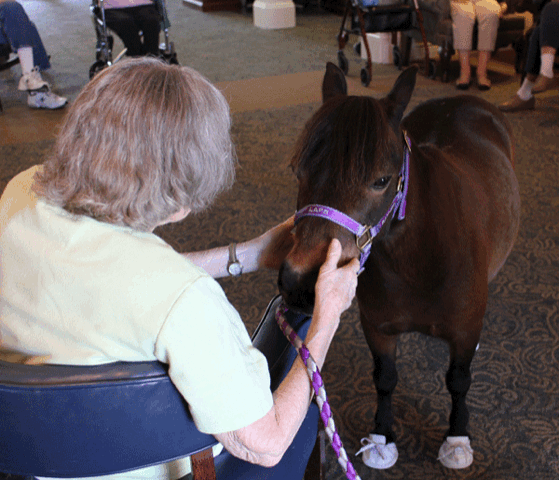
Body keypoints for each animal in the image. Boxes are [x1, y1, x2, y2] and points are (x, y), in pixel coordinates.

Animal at [278, 62, 524, 468]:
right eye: (297, 170)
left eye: (382, 180)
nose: (299, 282)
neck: (420, 257)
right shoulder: (378, 327)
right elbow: (385, 378)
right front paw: (382, 438)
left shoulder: (464, 329)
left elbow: (459, 379)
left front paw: (457, 439)